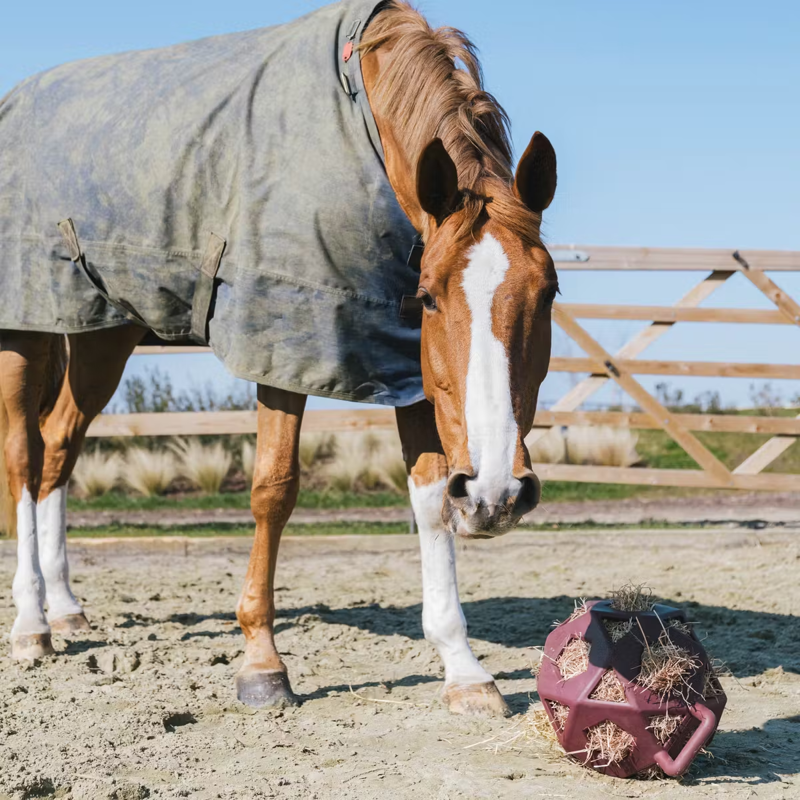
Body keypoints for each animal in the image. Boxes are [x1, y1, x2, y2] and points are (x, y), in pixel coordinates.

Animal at [0, 0, 557, 717]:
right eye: (431, 297)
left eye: (549, 292)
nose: (496, 496)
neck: (361, 121)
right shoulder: (281, 338)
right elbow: (274, 488)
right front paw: (262, 665)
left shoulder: (406, 364)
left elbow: (432, 496)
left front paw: (463, 669)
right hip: (26, 328)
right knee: (23, 455)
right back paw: (31, 625)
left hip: (103, 335)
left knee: (60, 447)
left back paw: (66, 607)